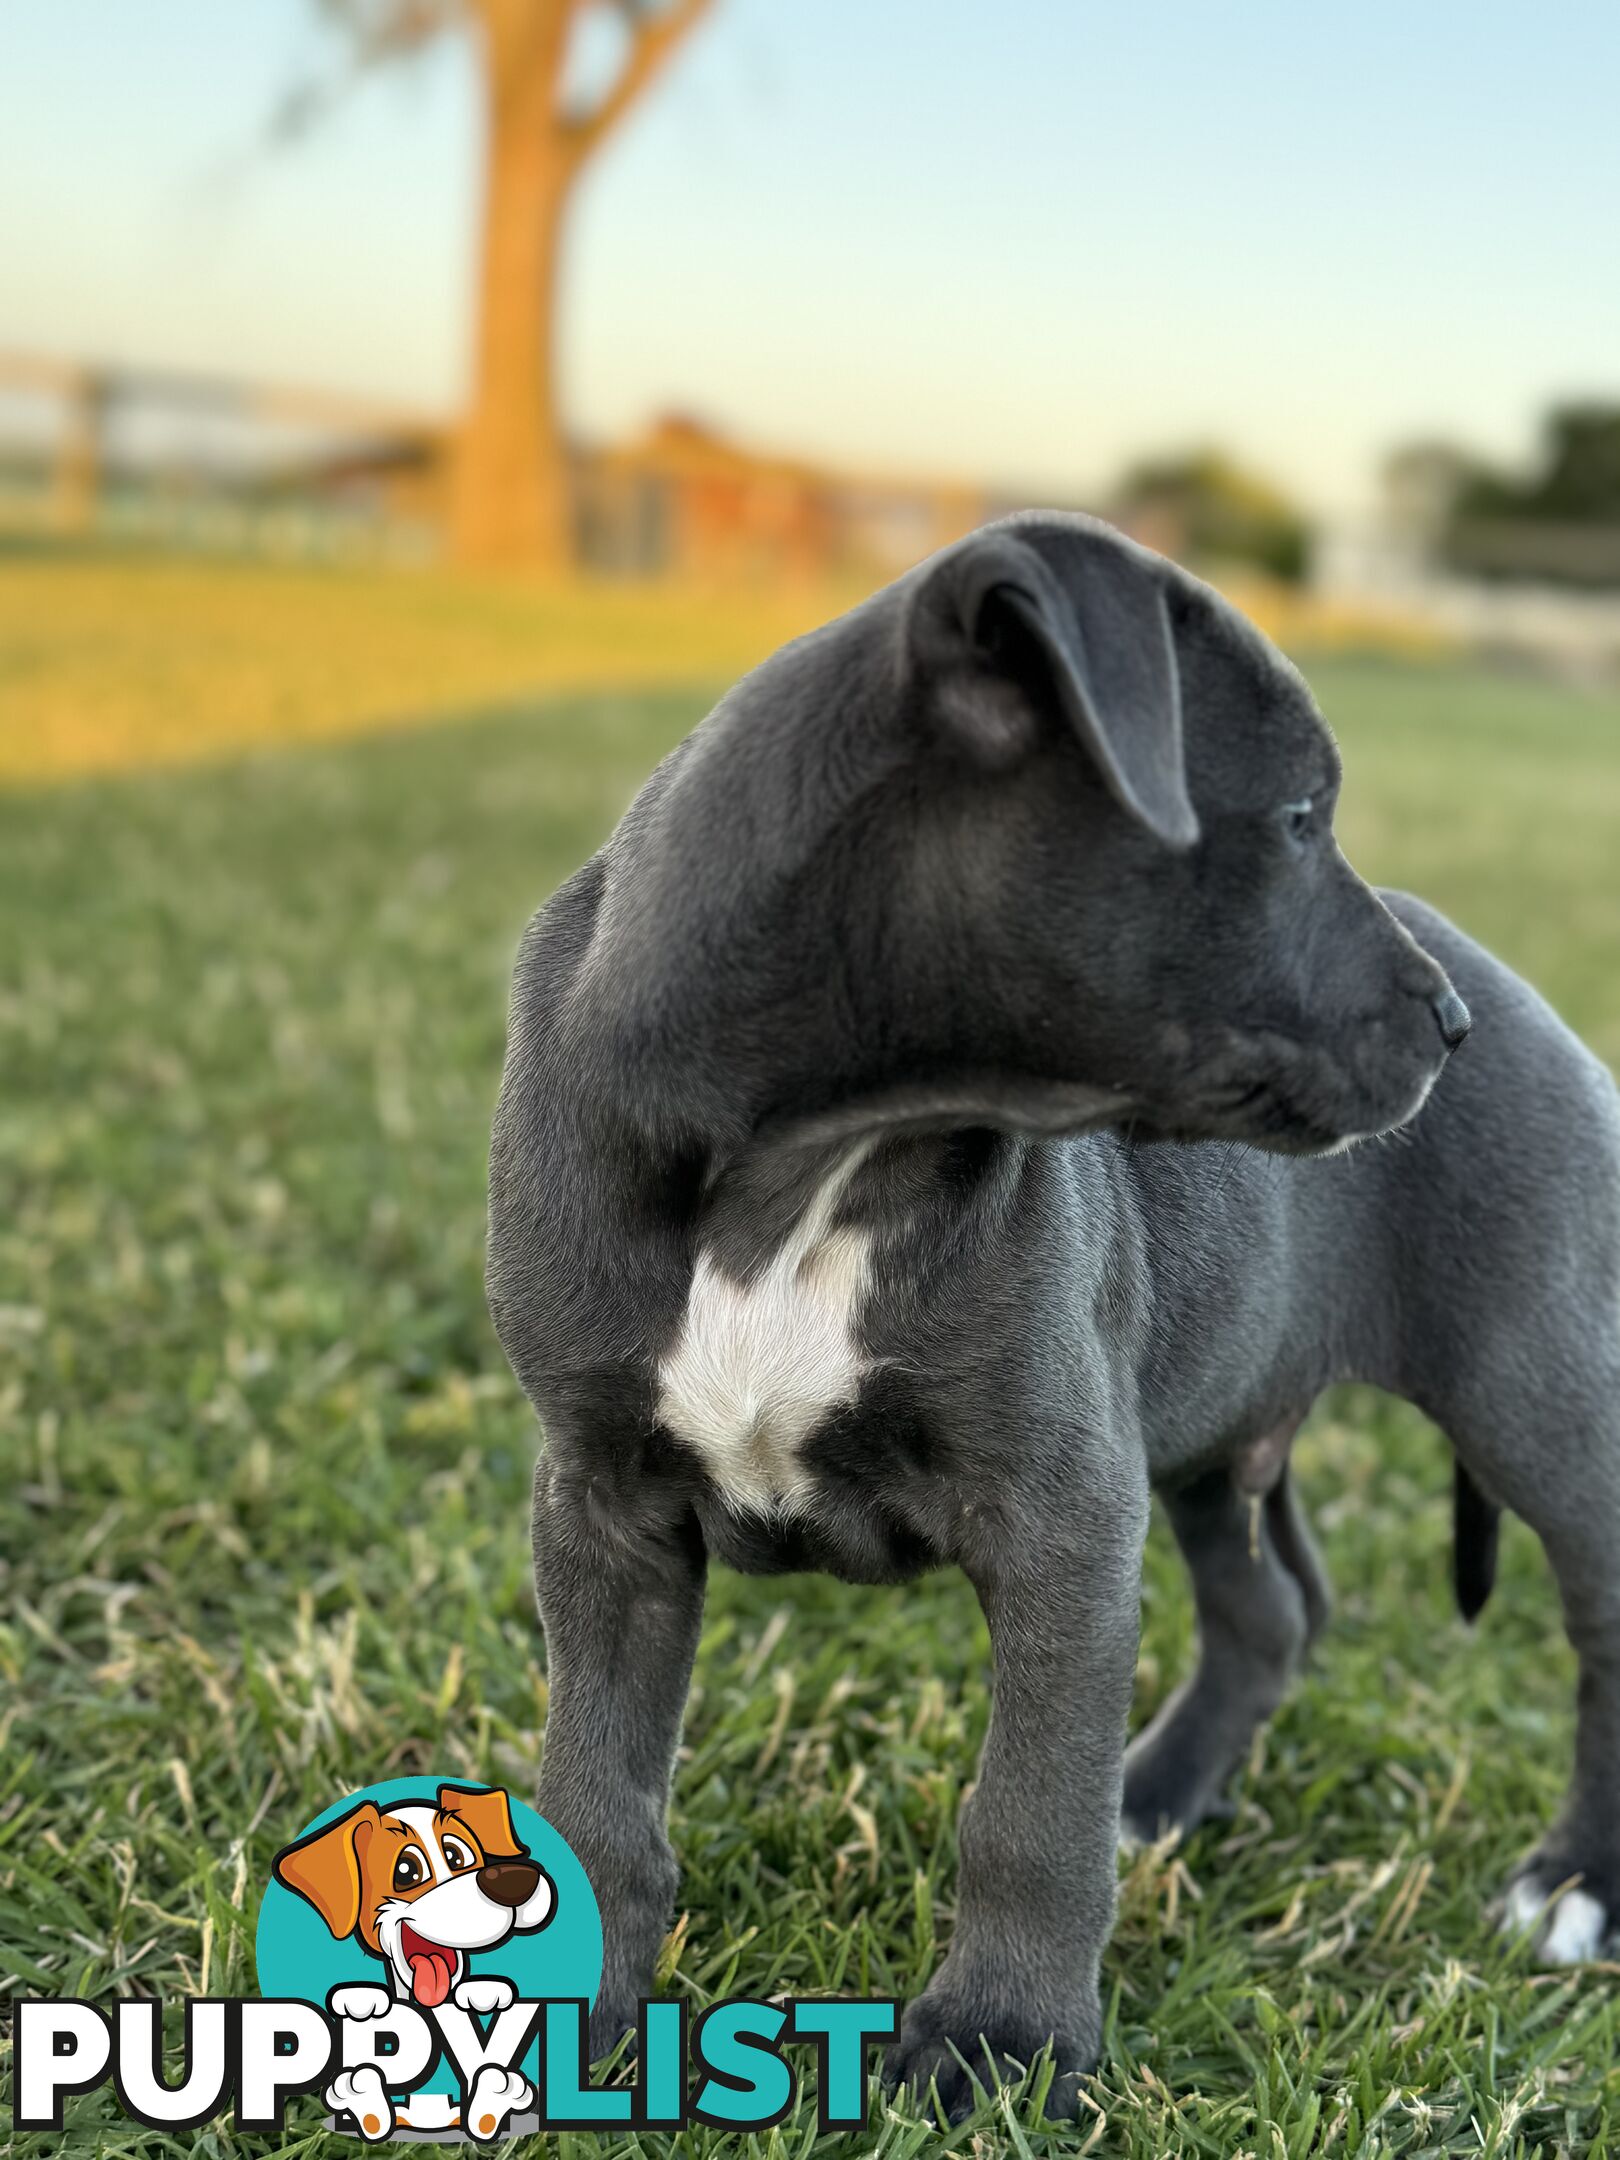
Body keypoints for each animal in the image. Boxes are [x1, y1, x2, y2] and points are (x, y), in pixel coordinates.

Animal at [492, 514, 1620, 2116]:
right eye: (1297, 818)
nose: (1450, 1024)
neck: (811, 1157)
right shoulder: (601, 1505)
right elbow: (596, 1790)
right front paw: (566, 2026)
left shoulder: (1063, 1511)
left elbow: (1026, 1806)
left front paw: (1003, 2041)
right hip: (1219, 1424)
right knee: (1267, 1614)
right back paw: (1156, 1796)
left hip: (1537, 1392)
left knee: (1596, 1625)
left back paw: (1573, 1885)